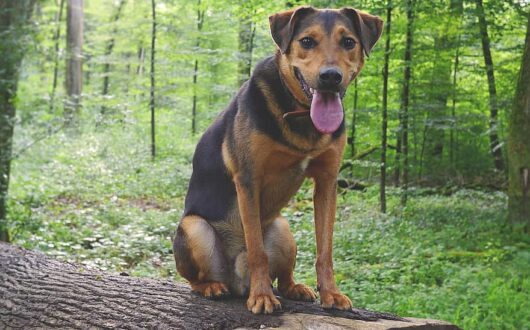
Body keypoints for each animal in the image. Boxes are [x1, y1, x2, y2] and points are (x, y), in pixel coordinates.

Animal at [172, 5, 380, 314]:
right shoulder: (248, 179)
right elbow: (257, 251)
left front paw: (331, 293)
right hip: (193, 227)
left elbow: (325, 250)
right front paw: (261, 297)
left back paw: (294, 287)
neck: (301, 113)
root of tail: (237, 281)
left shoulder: (327, 182)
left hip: (283, 227)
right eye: (307, 41)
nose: (330, 77)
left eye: (348, 42)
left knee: (282, 276)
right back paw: (213, 286)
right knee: (195, 278)